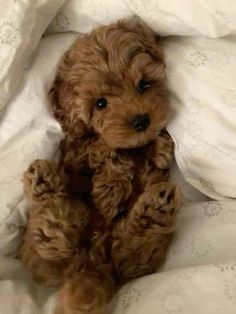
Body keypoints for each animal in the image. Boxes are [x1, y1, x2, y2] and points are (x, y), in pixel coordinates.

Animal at [19, 17, 181, 314]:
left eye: (144, 84)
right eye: (100, 103)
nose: (141, 121)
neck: (132, 149)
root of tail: (92, 265)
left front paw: (158, 149)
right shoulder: (78, 151)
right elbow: (101, 150)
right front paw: (112, 182)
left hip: (130, 260)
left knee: (132, 251)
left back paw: (156, 208)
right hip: (50, 245)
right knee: (54, 249)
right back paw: (44, 187)